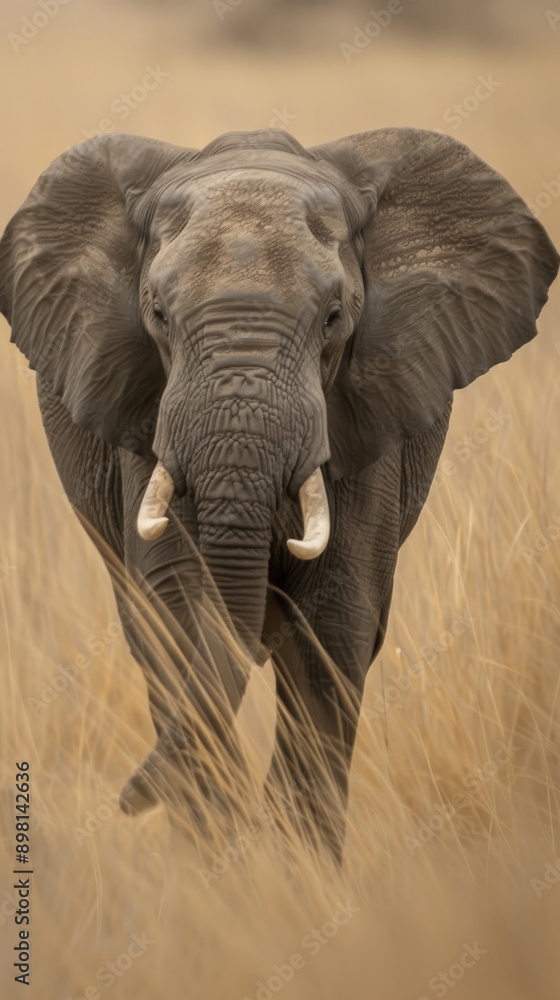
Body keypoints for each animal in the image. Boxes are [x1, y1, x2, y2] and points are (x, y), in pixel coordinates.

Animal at [1, 126, 558, 860]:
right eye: (158, 315)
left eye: (333, 317)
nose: (122, 801)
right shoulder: (143, 411)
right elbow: (178, 610)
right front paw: (219, 866)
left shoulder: (364, 414)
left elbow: (334, 624)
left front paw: (300, 871)